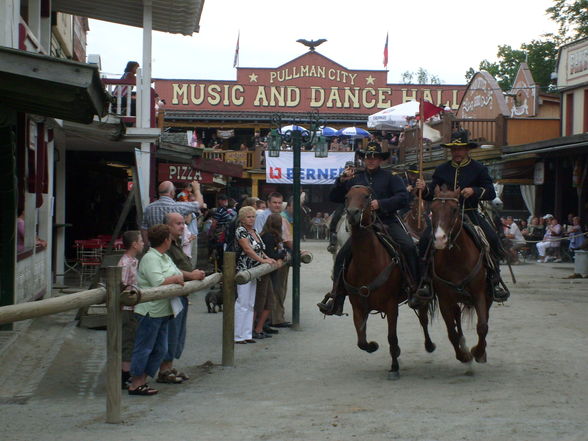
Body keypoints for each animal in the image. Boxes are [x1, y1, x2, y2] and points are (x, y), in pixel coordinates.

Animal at [342, 184, 434, 380]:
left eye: (367, 196)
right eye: (346, 197)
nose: (353, 213)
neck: (368, 263)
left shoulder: (391, 307)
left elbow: (392, 337)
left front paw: (394, 367)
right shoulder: (358, 307)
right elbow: (361, 340)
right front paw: (373, 346)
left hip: (420, 296)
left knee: (423, 319)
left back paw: (429, 345)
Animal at [428, 186, 492, 364]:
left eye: (454, 209)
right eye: (432, 210)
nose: (439, 239)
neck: (456, 258)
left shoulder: (479, 293)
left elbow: (482, 326)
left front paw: (478, 352)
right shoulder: (444, 299)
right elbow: (451, 331)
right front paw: (463, 355)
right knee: (456, 315)